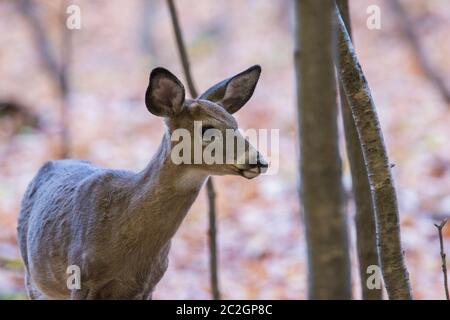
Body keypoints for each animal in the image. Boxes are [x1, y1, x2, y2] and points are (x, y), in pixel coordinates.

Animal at [18, 65, 268, 300]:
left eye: (234, 122)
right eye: (207, 128)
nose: (259, 161)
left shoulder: (148, 285)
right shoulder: (80, 277)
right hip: (33, 278)